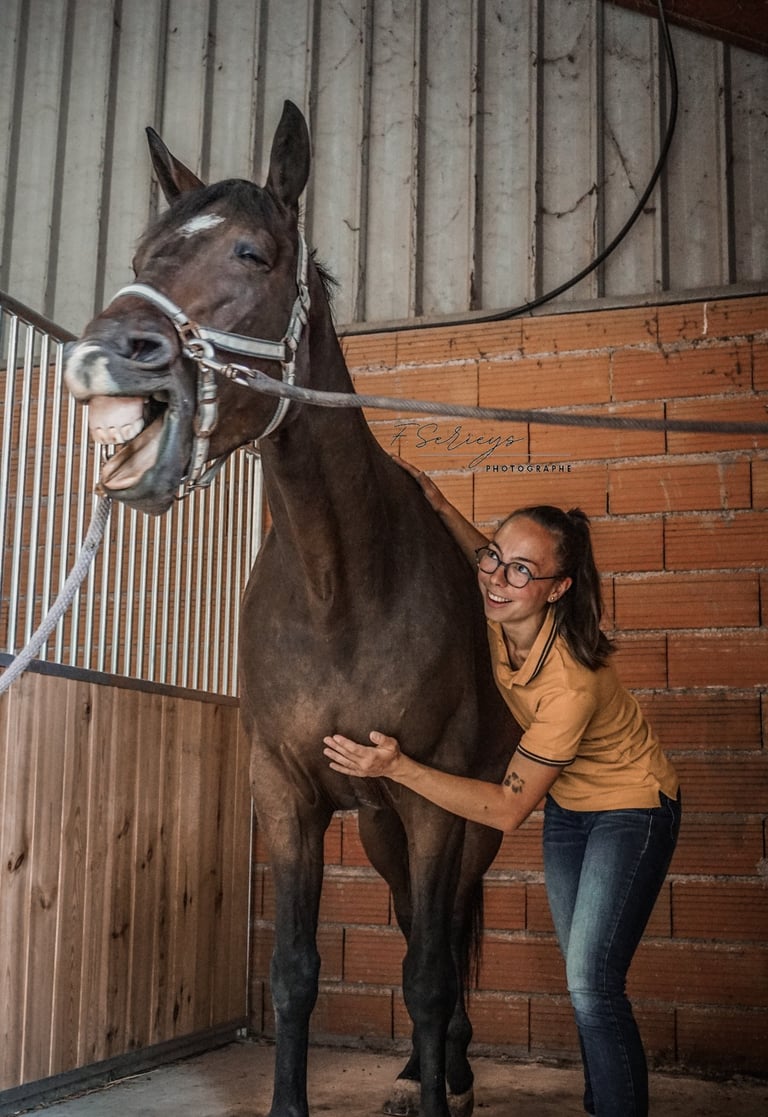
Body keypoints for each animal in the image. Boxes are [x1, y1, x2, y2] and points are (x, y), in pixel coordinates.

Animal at [63, 101, 520, 1117]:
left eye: (253, 253)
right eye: (144, 252)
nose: (102, 357)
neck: (340, 586)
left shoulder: (435, 803)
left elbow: (430, 974)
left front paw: (442, 1085)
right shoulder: (285, 793)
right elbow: (295, 972)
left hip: (462, 823)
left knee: (446, 935)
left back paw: (455, 1070)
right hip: (381, 825)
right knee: (412, 919)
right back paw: (421, 1069)